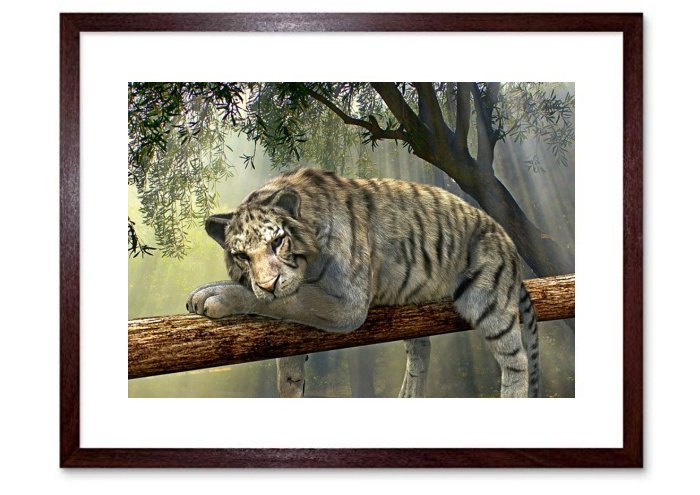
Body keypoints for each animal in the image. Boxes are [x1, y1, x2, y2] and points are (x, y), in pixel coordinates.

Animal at [186, 167, 540, 398]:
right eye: (242, 256)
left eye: (277, 242)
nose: (268, 283)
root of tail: (506, 239)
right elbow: (288, 349)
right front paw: (290, 385)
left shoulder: (347, 306)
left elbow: (291, 300)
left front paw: (213, 295)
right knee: (421, 348)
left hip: (488, 303)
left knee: (517, 361)